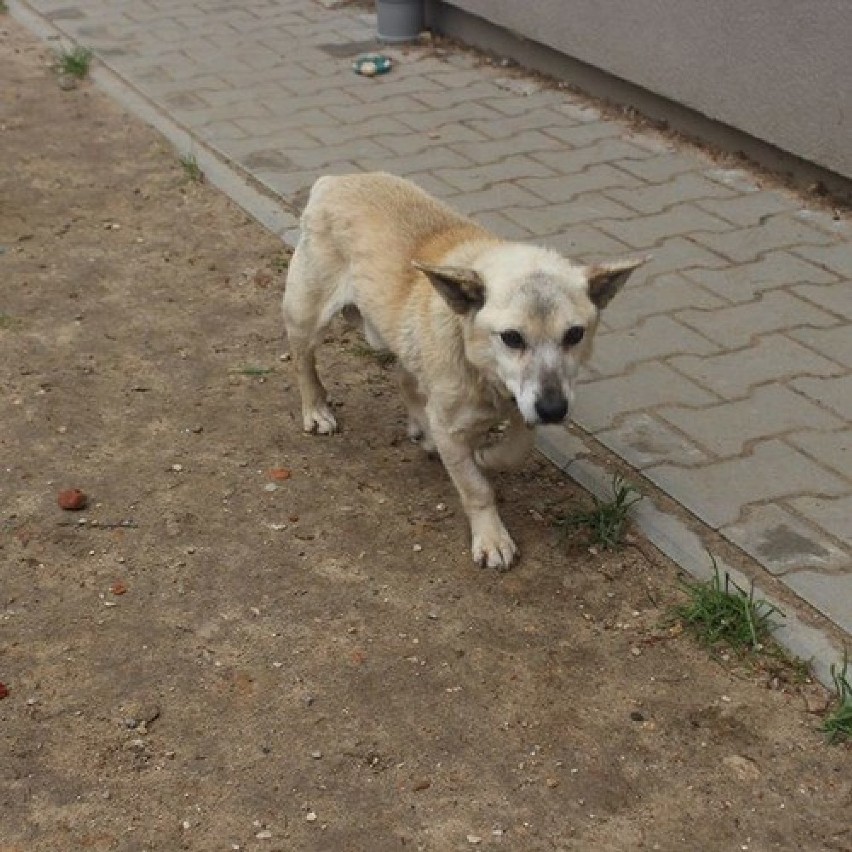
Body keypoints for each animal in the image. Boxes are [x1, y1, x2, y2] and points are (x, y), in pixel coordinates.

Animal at [282, 173, 644, 568]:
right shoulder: (454, 429)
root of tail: (337, 179)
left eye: (575, 334)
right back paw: (316, 410)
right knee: (303, 361)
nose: (553, 411)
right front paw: (491, 537)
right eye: (512, 337)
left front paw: (488, 456)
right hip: (307, 315)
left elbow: (517, 448)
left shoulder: (524, 404)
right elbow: (476, 487)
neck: (485, 374)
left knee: (405, 380)